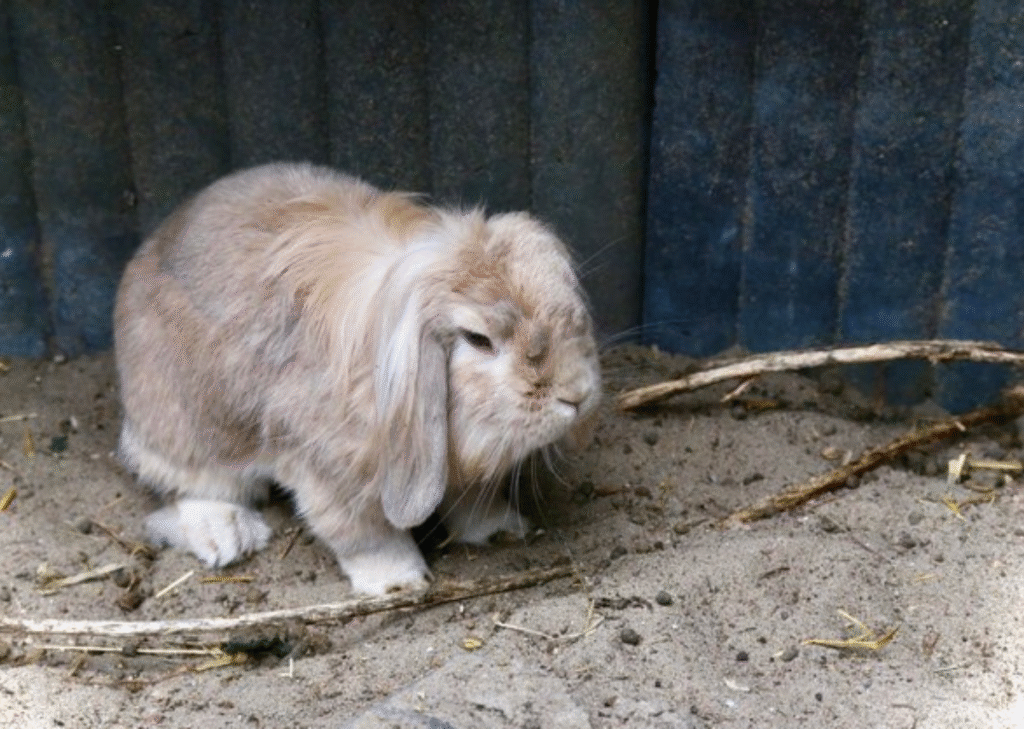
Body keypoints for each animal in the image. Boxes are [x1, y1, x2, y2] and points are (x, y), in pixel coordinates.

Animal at [114, 161, 601, 595]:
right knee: (189, 484)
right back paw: (230, 535)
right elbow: (365, 535)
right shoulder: (329, 473)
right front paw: (398, 581)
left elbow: (472, 500)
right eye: (478, 339)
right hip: (187, 426)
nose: (576, 396)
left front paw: (501, 528)